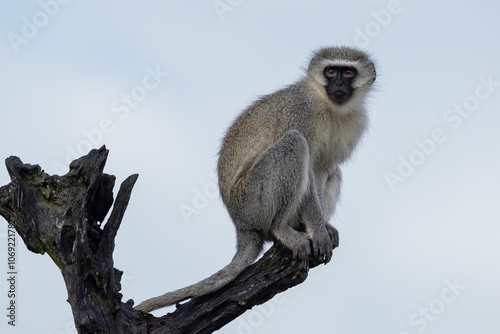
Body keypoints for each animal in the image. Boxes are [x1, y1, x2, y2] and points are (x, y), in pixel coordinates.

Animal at [135, 45, 376, 312]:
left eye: (348, 72)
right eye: (331, 71)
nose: (339, 85)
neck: (330, 107)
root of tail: (240, 224)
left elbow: (323, 169)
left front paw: (322, 224)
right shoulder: (302, 111)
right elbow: (309, 169)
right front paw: (318, 230)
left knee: (333, 171)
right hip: (253, 201)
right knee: (295, 143)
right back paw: (281, 229)